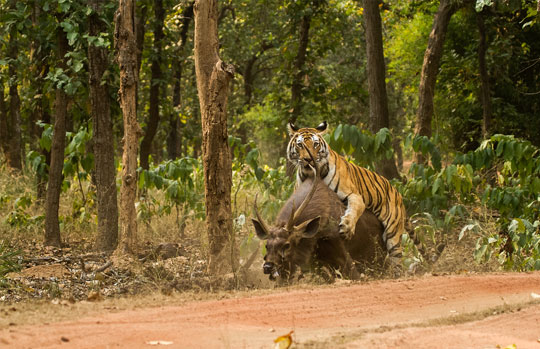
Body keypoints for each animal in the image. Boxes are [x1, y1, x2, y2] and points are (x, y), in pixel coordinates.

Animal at [286, 121, 404, 260]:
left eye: (315, 144)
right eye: (300, 145)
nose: (308, 159)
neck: (311, 174)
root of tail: (397, 191)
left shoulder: (354, 194)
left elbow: (354, 210)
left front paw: (347, 228)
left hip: (393, 235)